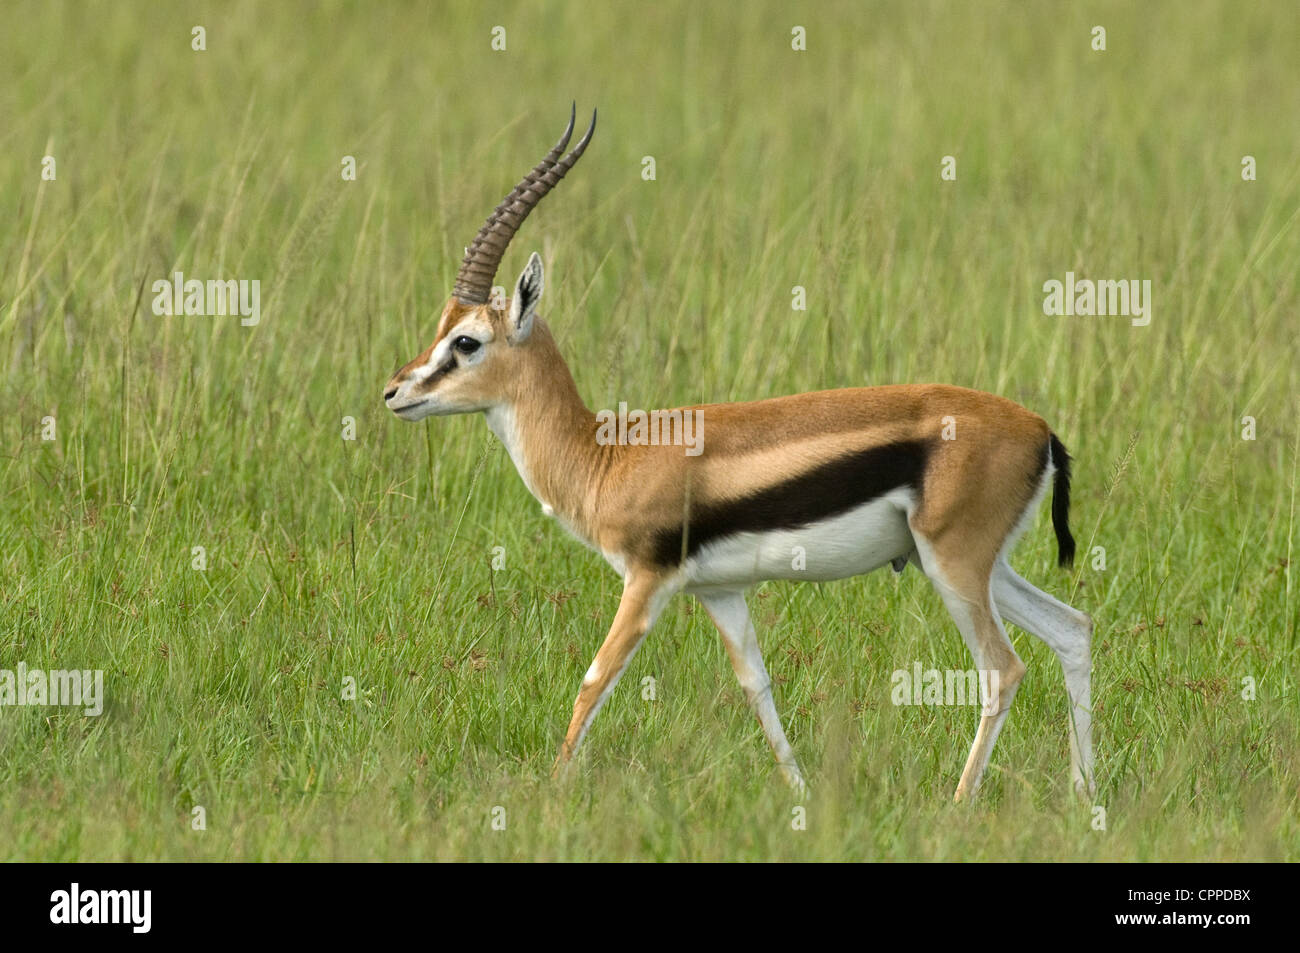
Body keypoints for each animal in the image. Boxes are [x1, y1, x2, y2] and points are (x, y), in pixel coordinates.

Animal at [383, 106, 1095, 801]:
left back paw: (960, 805)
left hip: (954, 565)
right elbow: (757, 687)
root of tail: (1041, 430)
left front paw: (552, 795)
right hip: (967, 564)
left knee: (1003, 669)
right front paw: (801, 796)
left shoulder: (647, 582)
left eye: (467, 341)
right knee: (1073, 629)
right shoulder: (721, 593)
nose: (394, 392)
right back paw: (1087, 799)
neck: (605, 455)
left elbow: (594, 680)